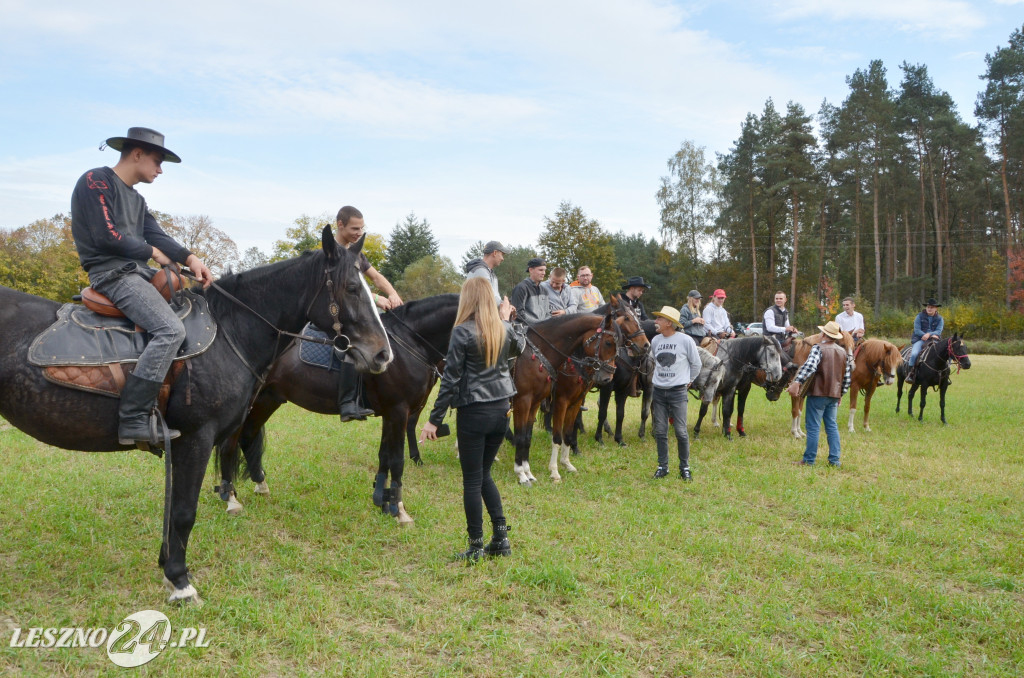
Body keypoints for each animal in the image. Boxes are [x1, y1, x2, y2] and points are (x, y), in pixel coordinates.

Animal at [0, 229, 391, 606]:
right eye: (352, 287)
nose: (383, 355)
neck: (230, 332)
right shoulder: (195, 438)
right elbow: (185, 511)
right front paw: (180, 581)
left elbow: (178, 506)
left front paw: (168, 566)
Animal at [214, 294, 458, 528]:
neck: (410, 343)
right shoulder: (399, 411)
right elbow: (397, 461)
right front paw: (400, 511)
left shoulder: (389, 415)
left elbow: (384, 458)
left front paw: (382, 501)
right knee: (229, 445)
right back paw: (231, 498)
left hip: (268, 399)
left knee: (247, 436)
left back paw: (260, 483)